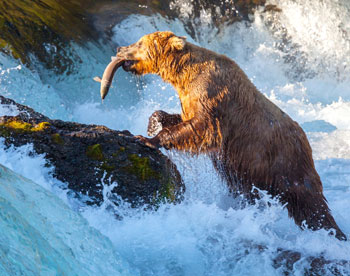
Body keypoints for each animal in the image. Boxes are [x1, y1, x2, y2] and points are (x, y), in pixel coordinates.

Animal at [116, 31, 346, 240]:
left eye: (139, 42)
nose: (120, 49)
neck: (184, 76)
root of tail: (306, 141)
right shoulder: (190, 100)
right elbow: (181, 120)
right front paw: (153, 123)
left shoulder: (213, 98)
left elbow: (201, 129)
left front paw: (147, 139)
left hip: (284, 162)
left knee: (309, 202)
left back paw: (333, 232)